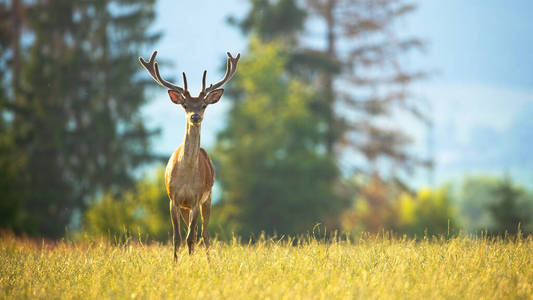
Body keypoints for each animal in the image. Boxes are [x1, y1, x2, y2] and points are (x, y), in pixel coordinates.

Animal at [139, 50, 239, 258]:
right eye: (185, 105)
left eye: (204, 105)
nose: (195, 116)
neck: (185, 178)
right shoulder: (173, 199)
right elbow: (177, 237)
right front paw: (175, 262)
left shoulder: (195, 199)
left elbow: (190, 237)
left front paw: (190, 262)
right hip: (186, 207)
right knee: (194, 232)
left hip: (208, 198)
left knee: (204, 233)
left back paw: (208, 260)